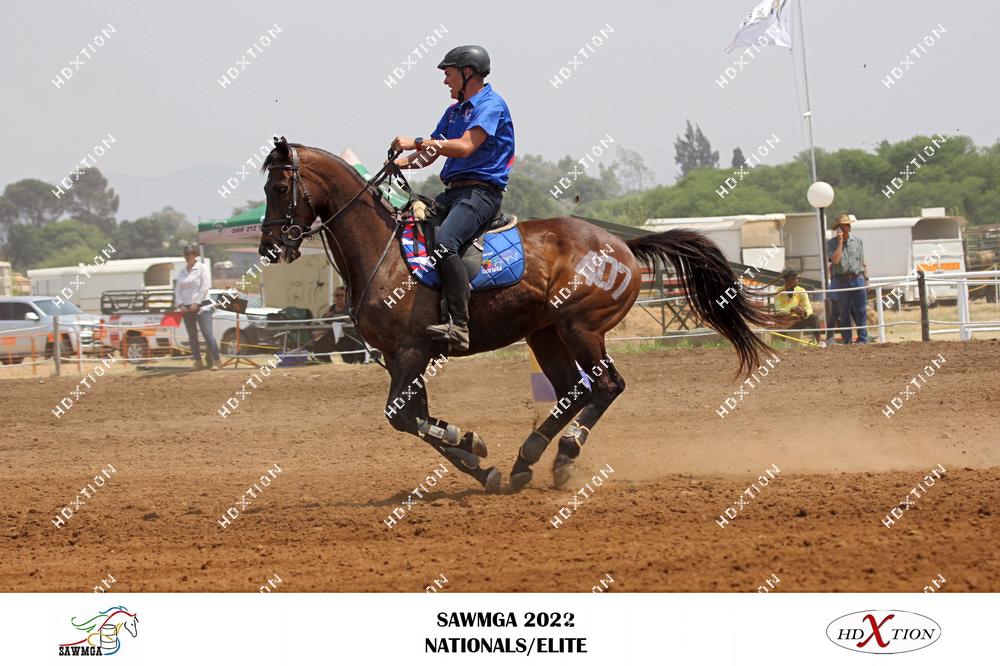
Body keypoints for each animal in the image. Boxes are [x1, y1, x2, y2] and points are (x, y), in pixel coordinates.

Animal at [258, 138, 776, 493]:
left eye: (280, 186)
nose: (269, 247)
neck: (384, 254)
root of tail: (624, 246)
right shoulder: (399, 357)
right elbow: (412, 416)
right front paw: (476, 459)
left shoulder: (411, 351)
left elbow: (401, 416)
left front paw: (469, 442)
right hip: (545, 334)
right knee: (573, 391)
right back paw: (526, 459)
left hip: (580, 327)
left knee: (607, 386)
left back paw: (563, 456)